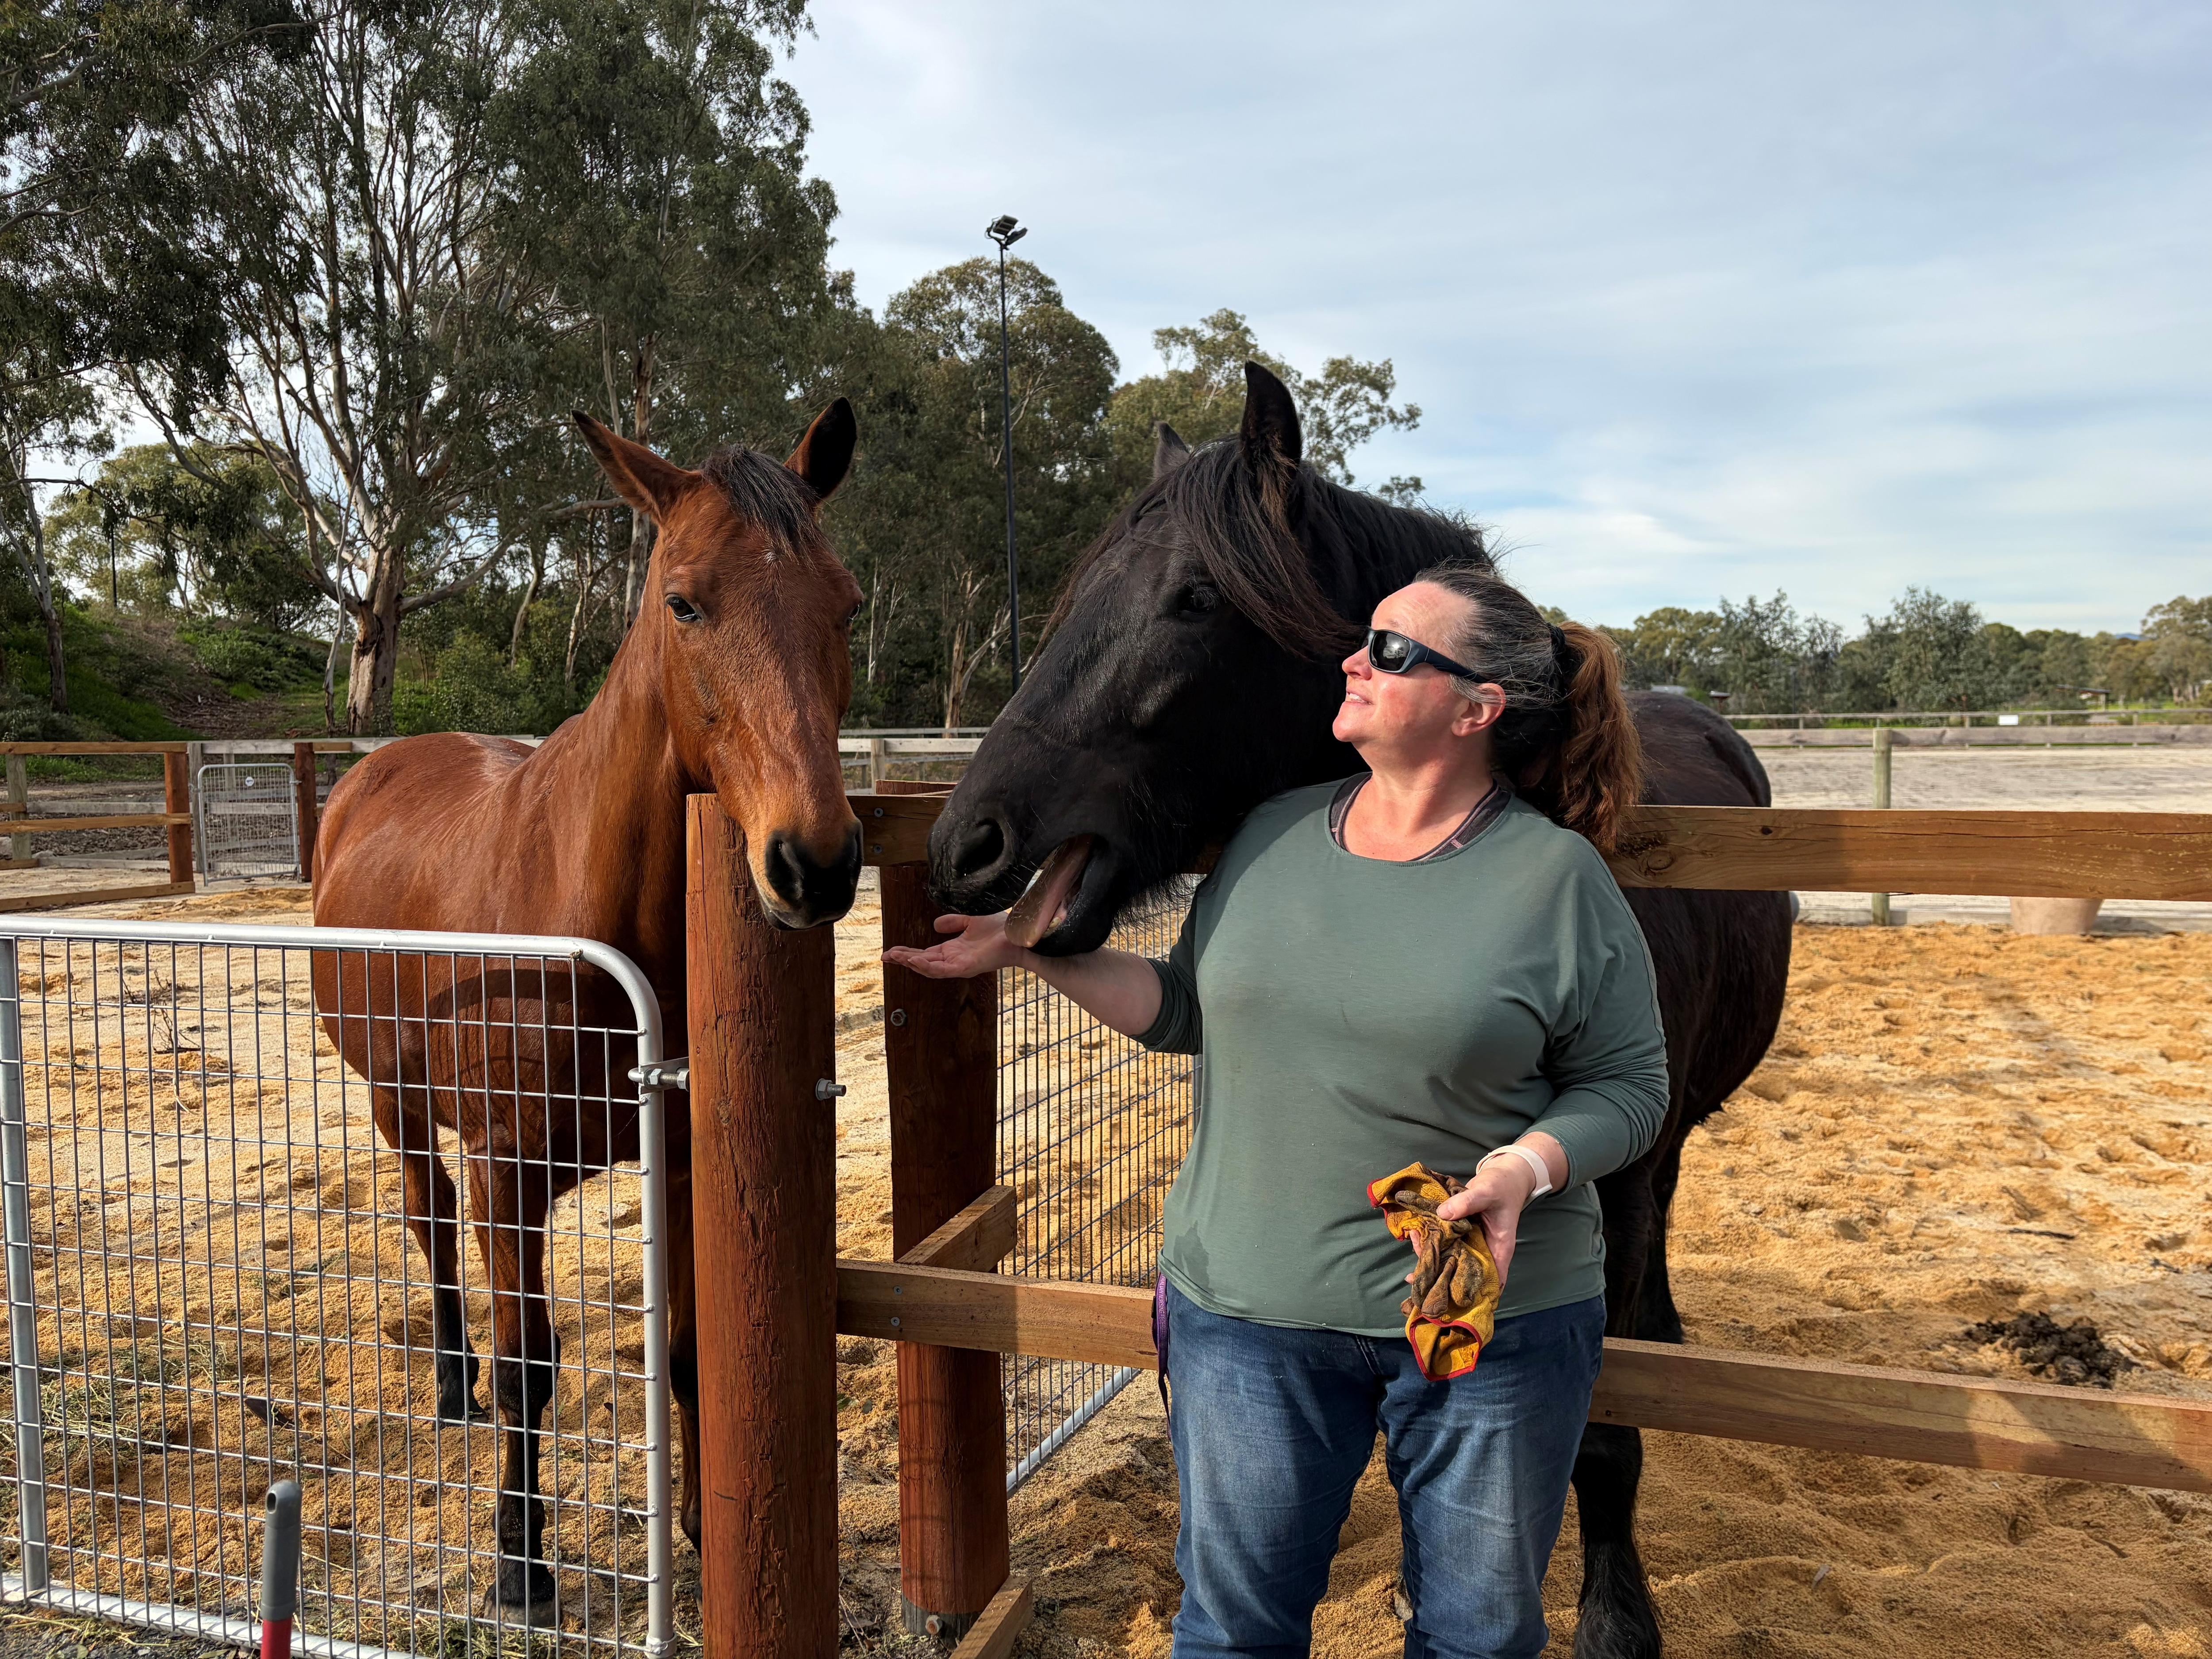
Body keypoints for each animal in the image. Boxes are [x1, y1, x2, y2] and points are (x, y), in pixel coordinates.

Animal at [310, 403, 864, 1616]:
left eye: (845, 602)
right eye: (684, 602)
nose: (814, 862)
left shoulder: (687, 1161)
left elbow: (693, 1346)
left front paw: (703, 1530)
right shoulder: (507, 1169)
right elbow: (531, 1362)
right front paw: (520, 1562)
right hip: (396, 1103)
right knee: (429, 1227)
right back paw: (454, 1387)